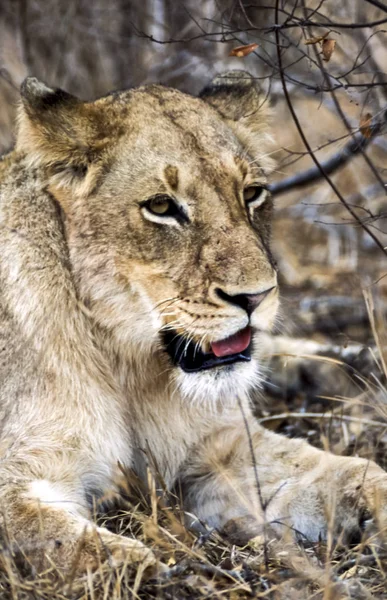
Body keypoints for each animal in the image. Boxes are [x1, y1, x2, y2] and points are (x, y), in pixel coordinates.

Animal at [0, 72, 386, 576]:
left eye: (252, 193)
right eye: (162, 207)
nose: (255, 296)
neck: (128, 363)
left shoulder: (222, 450)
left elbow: (343, 468)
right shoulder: (20, 473)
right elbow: (64, 540)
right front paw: (154, 568)